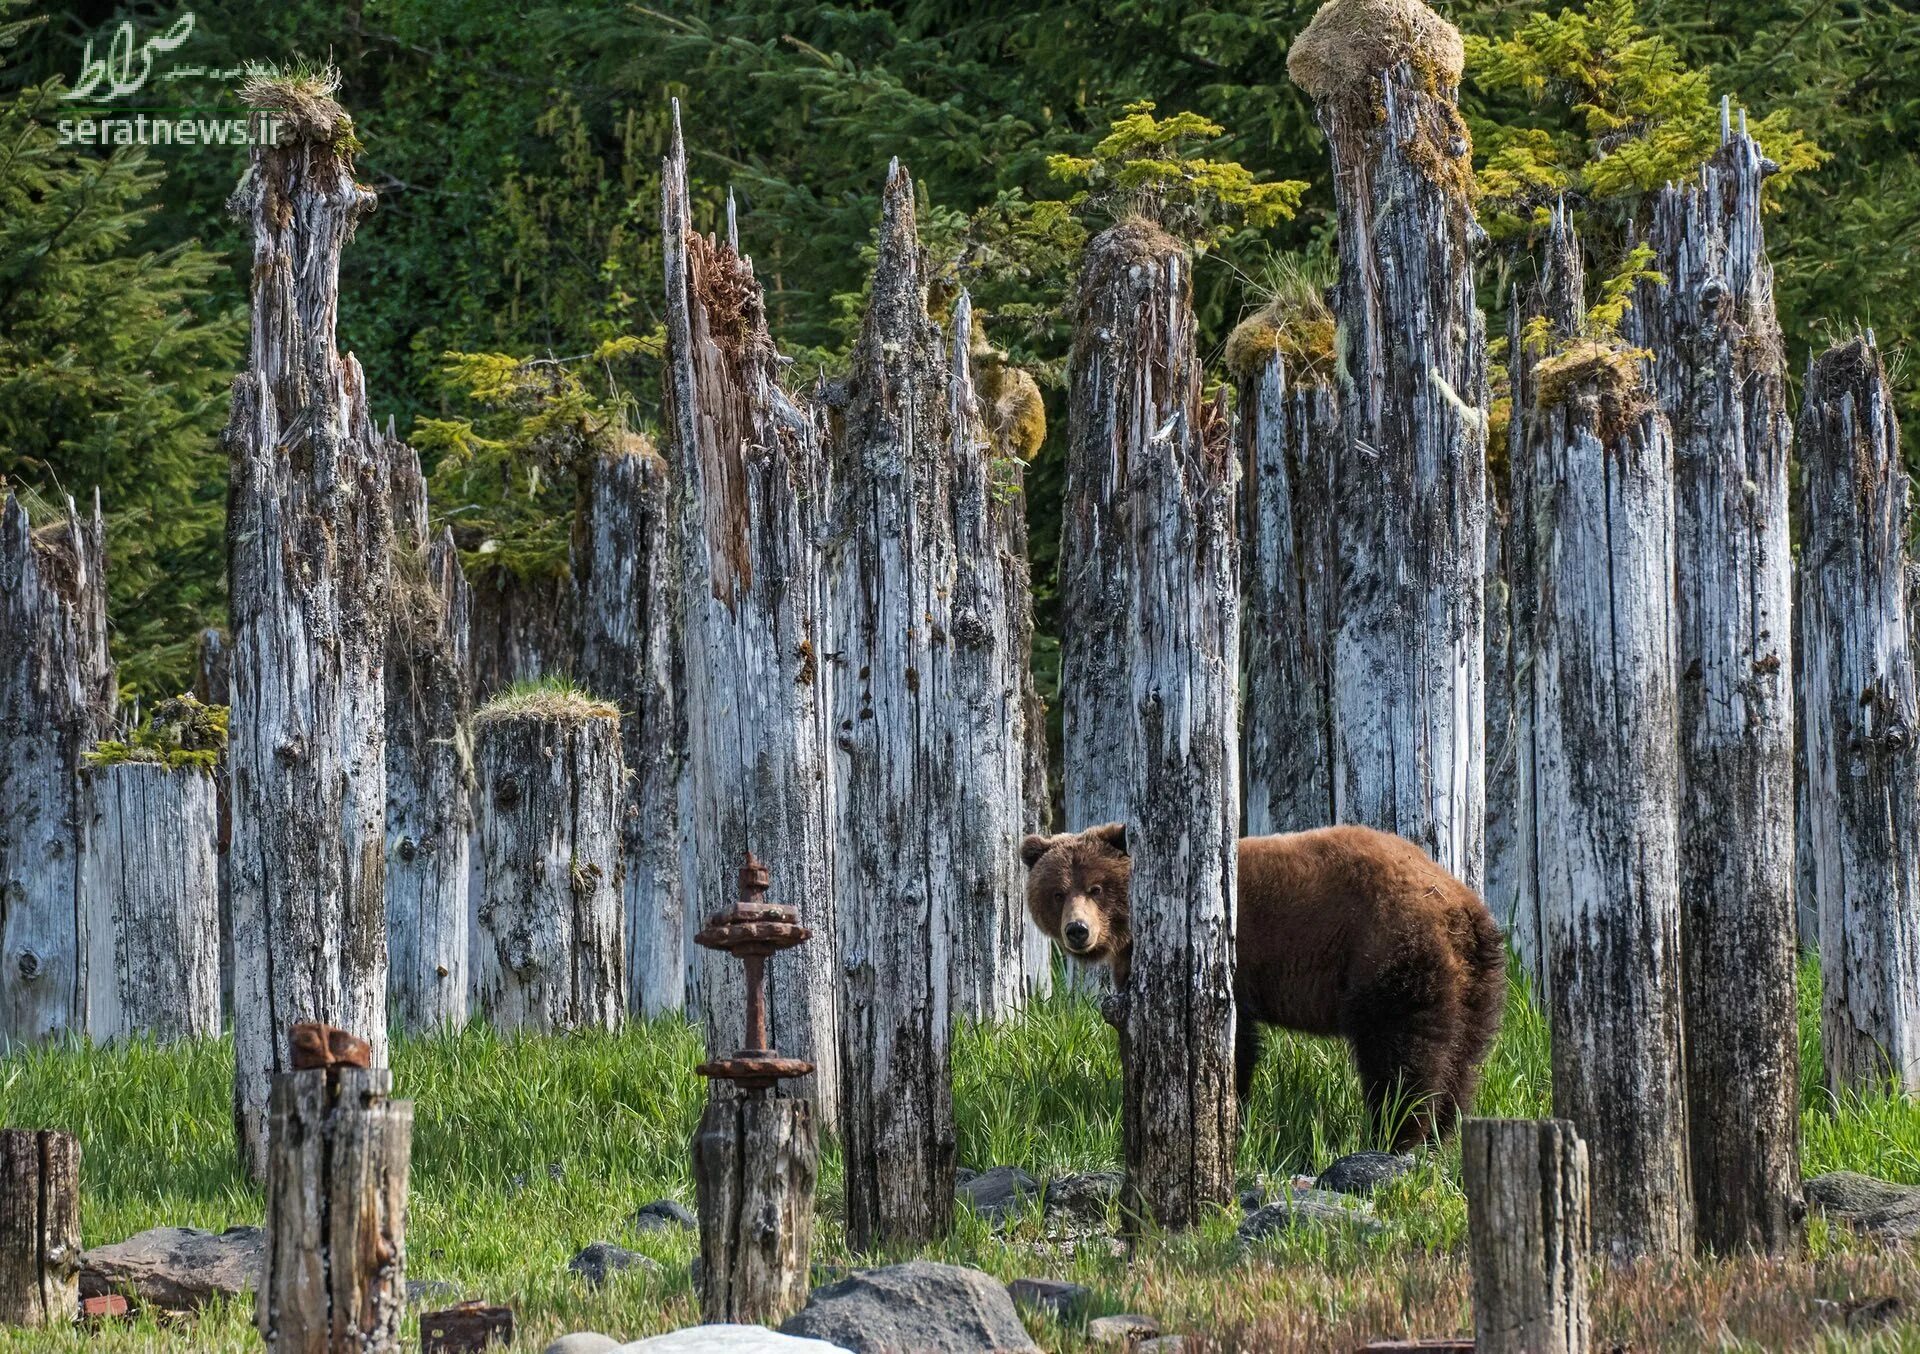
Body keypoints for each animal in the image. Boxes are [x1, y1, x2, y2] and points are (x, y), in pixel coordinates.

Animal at [1029, 818, 1505, 1144]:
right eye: (1057, 892)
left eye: (1096, 888)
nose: (1077, 931)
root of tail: (1459, 905)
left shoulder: (1229, 959)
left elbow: (1232, 1040)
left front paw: (1228, 1108)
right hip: (1475, 981)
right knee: (1462, 1056)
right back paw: (1444, 1129)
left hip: (1391, 951)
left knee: (1401, 1053)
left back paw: (1396, 1133)